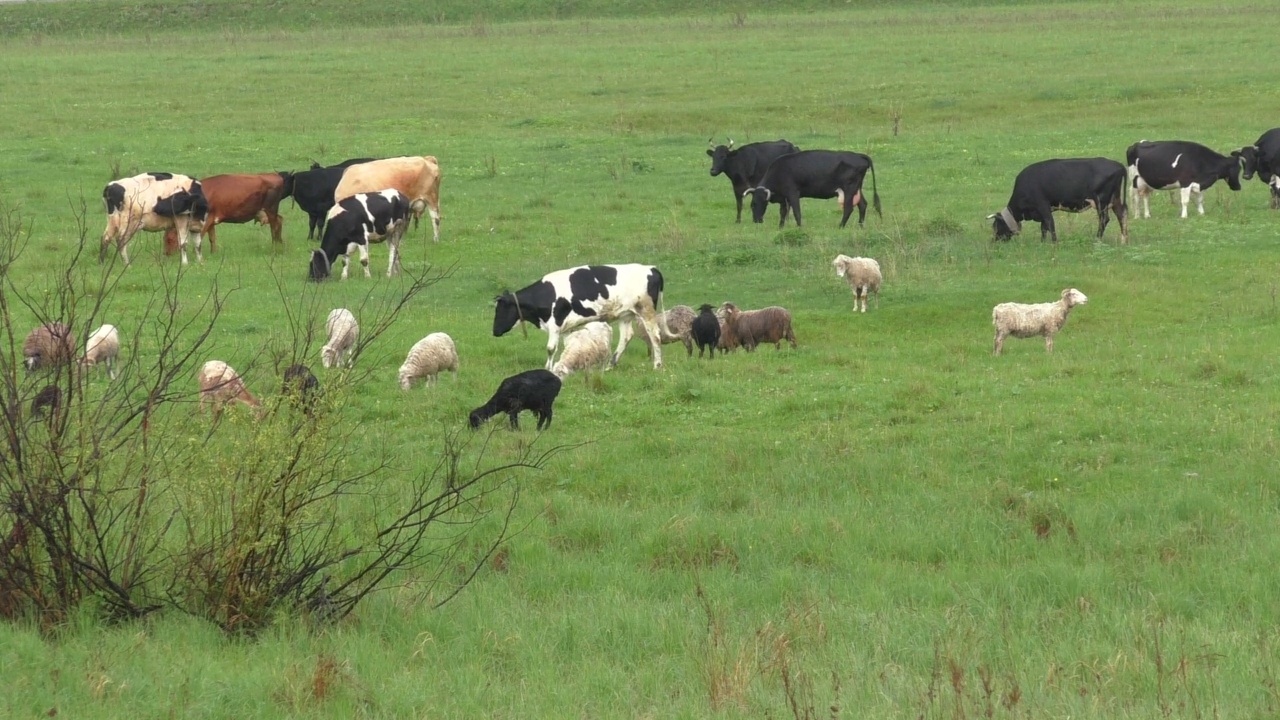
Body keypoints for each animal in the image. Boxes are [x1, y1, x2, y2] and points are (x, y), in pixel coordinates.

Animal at [163, 170, 293, 252]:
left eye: (169, 240)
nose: (167, 255)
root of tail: (274, 175)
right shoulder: (211, 220)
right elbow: (212, 238)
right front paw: (213, 253)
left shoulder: (206, 220)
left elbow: (201, 236)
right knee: (279, 220)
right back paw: (280, 245)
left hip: (271, 209)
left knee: (274, 226)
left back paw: (274, 247)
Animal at [488, 260, 670, 366]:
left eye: (501, 309)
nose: (494, 331)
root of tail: (651, 268)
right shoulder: (566, 327)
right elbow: (566, 346)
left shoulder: (555, 323)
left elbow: (550, 348)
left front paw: (548, 368)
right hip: (625, 314)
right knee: (626, 336)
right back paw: (611, 364)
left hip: (646, 310)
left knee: (655, 336)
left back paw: (657, 365)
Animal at [747, 149, 885, 228]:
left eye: (754, 204)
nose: (756, 221)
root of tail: (859, 155)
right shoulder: (784, 197)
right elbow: (783, 212)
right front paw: (780, 227)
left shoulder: (793, 193)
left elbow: (796, 212)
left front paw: (799, 227)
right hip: (857, 188)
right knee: (862, 204)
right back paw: (860, 225)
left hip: (849, 188)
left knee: (849, 208)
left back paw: (841, 226)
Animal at [988, 156, 1131, 243]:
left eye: (995, 226)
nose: (994, 241)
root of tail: (1117, 164)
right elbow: (1043, 227)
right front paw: (1042, 242)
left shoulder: (1042, 205)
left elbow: (1050, 224)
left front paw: (1054, 242)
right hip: (1115, 199)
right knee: (1122, 214)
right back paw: (1124, 240)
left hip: (1101, 200)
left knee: (1104, 219)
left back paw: (1097, 239)